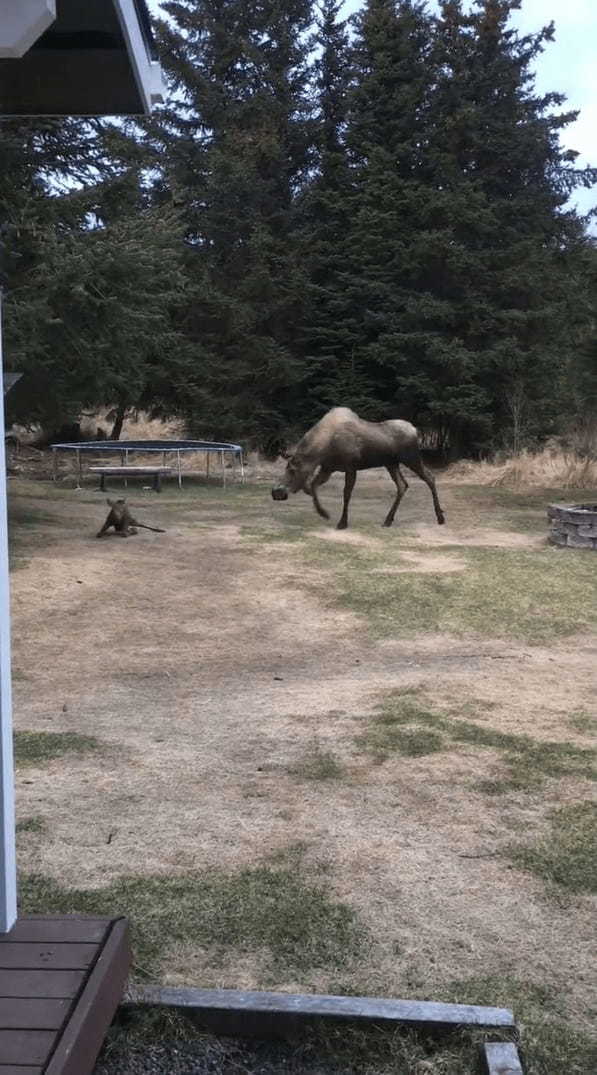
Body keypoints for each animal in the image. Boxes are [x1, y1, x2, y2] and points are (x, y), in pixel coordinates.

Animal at [273, 406, 445, 528]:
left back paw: (440, 517)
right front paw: (324, 513)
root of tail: (415, 430)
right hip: (391, 464)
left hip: (411, 458)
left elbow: (346, 494)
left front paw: (342, 522)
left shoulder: (350, 467)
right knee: (402, 485)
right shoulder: (328, 468)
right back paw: (388, 520)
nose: (275, 492)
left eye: (292, 470)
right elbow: (312, 486)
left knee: (430, 477)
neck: (323, 449)